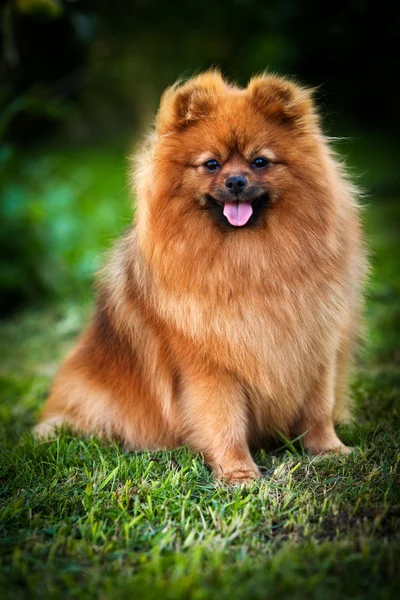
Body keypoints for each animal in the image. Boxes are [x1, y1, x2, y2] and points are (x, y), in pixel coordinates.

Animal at [36, 70, 368, 482]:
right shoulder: (209, 366)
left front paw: (330, 451)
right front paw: (238, 474)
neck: (251, 261)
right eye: (211, 164)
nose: (236, 181)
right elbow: (224, 421)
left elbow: (318, 409)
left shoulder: (316, 347)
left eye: (260, 161)